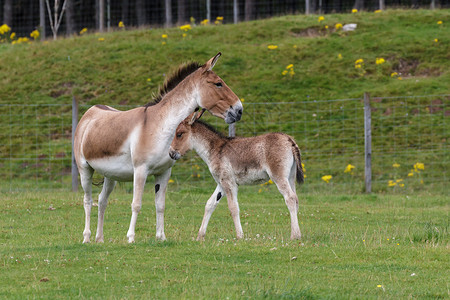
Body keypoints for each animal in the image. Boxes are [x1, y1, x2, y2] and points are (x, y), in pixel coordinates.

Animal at [74, 52, 243, 243]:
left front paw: (161, 237)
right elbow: (136, 204)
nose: (239, 110)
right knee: (88, 201)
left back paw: (100, 239)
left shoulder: (164, 172)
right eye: (218, 83)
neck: (160, 126)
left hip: (110, 175)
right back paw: (87, 238)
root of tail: (90, 112)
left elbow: (160, 205)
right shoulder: (140, 170)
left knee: (102, 201)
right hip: (84, 171)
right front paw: (131, 237)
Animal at [171, 115, 304, 241]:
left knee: (290, 198)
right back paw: (297, 232)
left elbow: (233, 208)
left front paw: (240, 236)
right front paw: (200, 236)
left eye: (179, 134)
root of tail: (289, 139)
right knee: (296, 198)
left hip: (279, 177)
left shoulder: (228, 183)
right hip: (290, 177)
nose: (171, 154)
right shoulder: (221, 183)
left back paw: (295, 235)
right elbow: (210, 204)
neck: (215, 149)